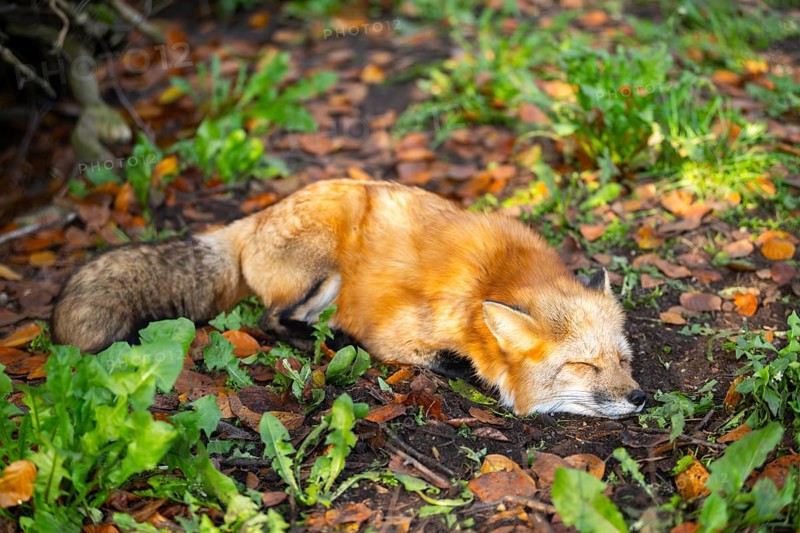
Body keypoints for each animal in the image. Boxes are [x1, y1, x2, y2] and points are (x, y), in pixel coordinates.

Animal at [53, 179, 646, 418]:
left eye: (622, 360)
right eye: (584, 366)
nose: (640, 398)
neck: (491, 282)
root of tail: (255, 218)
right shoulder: (398, 331)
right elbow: (448, 361)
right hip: (323, 273)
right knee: (270, 320)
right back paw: (330, 338)